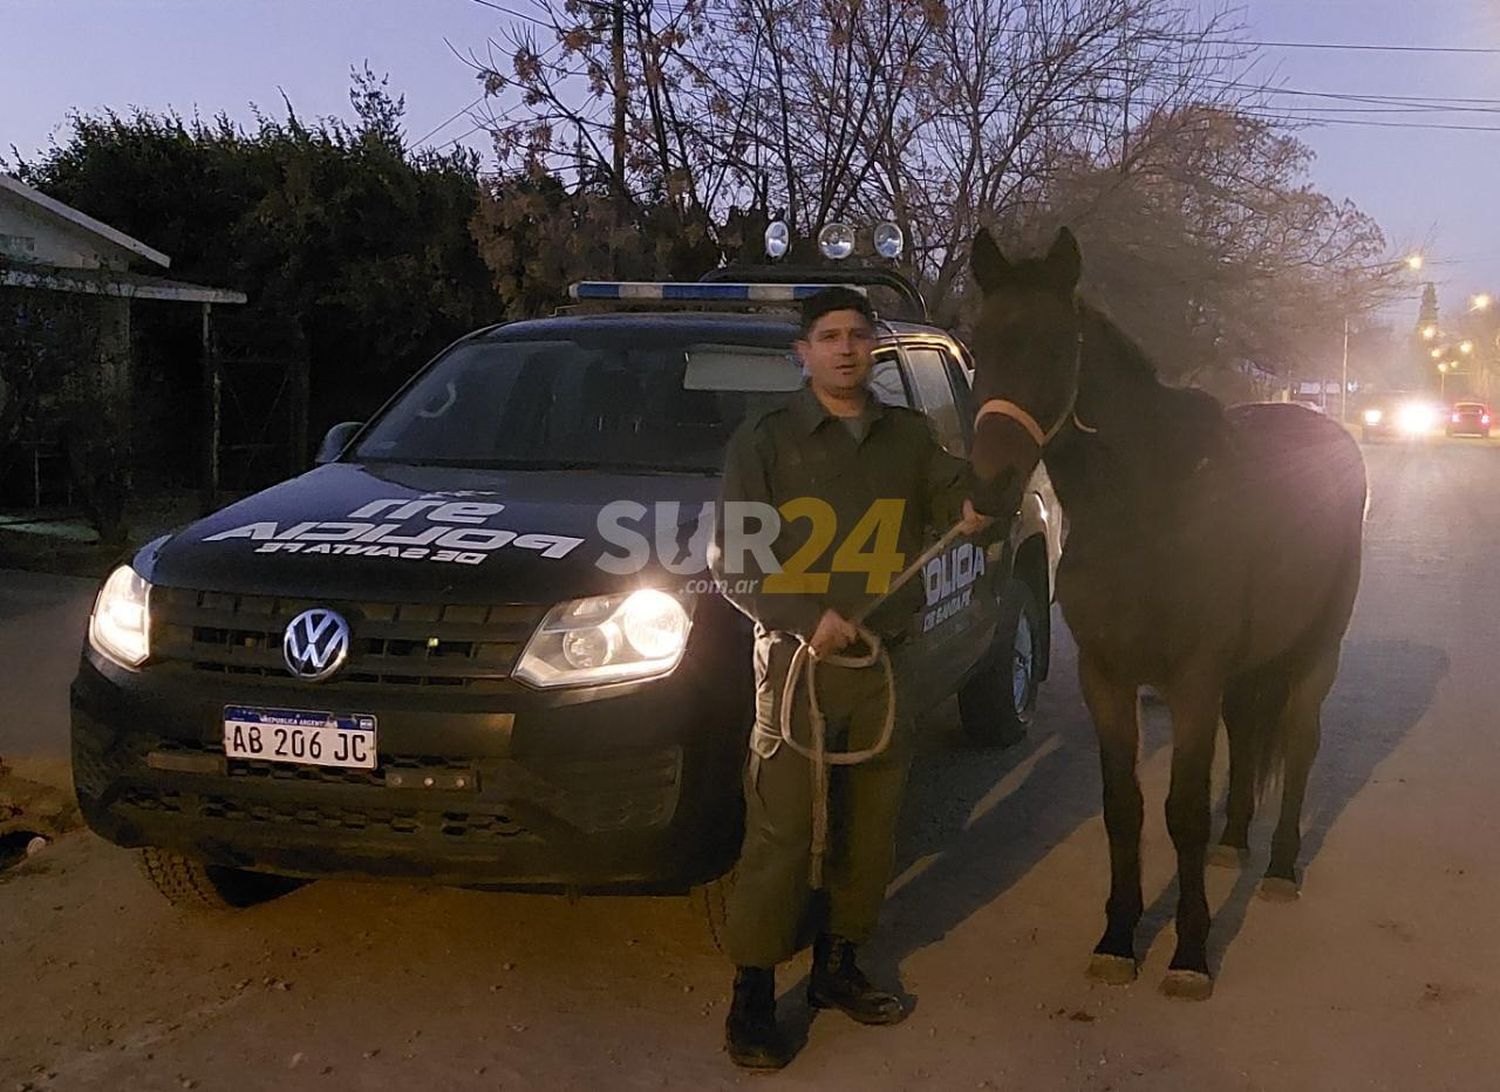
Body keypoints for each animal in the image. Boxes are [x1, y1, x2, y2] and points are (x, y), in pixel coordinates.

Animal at [966, 226, 1368, 1002]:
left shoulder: (1192, 681)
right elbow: (1123, 807)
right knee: (1248, 736)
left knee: (1299, 744)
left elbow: (1181, 810)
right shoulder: (1107, 678)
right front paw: (1118, 940)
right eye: (978, 343)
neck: (1147, 510)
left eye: (1056, 347)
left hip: (1318, 650)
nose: (990, 487)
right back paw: (1234, 844)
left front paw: (1189, 953)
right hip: (1248, 669)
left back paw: (1278, 869)